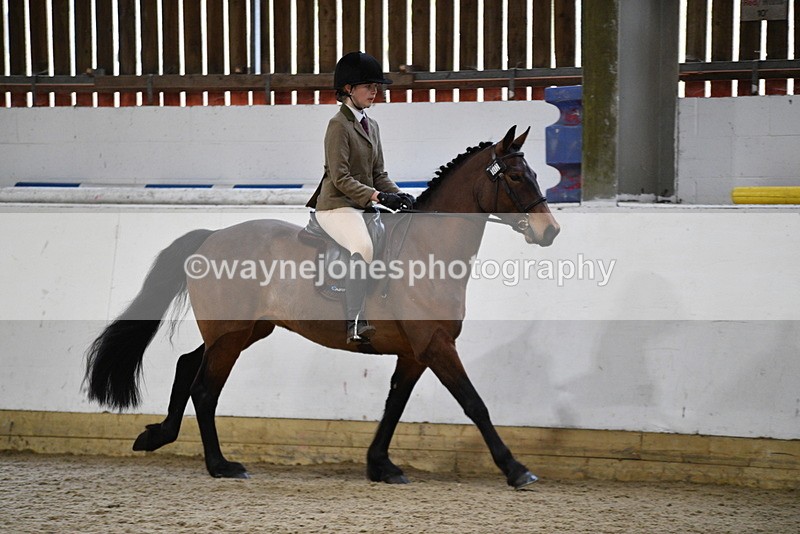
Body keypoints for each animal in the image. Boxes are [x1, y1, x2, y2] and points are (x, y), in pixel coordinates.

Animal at [84, 125, 560, 489]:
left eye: (534, 173)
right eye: (515, 177)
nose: (550, 231)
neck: (429, 251)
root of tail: (211, 236)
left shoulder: (414, 352)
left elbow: (394, 404)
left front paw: (380, 465)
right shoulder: (436, 345)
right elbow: (474, 403)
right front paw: (516, 469)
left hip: (243, 330)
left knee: (187, 365)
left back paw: (156, 436)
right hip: (232, 335)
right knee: (204, 389)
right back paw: (221, 466)